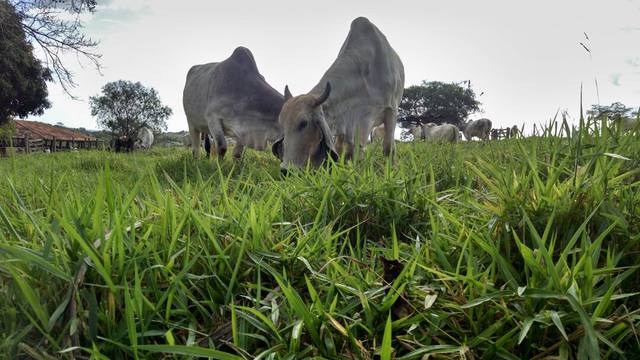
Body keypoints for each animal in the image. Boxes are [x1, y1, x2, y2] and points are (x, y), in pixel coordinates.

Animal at [272, 18, 402, 172]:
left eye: (304, 123)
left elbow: (388, 148)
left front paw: (391, 171)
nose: (285, 170)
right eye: (282, 125)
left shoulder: (390, 110)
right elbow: (350, 152)